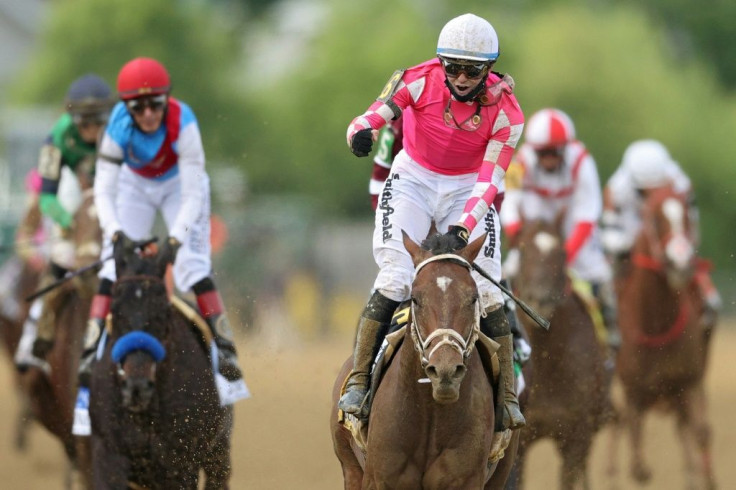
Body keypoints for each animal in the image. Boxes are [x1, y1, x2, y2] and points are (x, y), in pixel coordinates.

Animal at [89, 240, 233, 486]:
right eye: (115, 309)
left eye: (163, 311)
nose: (136, 387)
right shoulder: (108, 454)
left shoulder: (180, 464)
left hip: (218, 452)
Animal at [330, 233, 516, 490]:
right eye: (416, 299)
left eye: (473, 298)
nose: (446, 370)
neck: (430, 413)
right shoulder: (378, 480)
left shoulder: (466, 480)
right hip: (350, 465)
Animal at [612, 186, 716, 488]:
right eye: (656, 220)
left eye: (687, 216)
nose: (680, 262)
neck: (657, 324)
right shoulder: (632, 390)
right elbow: (639, 467)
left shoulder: (688, 383)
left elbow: (698, 433)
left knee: (693, 433)